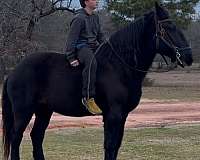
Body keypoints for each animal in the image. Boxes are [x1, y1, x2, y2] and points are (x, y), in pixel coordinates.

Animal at [1, 2, 192, 160]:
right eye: (168, 27)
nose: (188, 56)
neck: (119, 66)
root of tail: (14, 72)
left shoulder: (123, 116)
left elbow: (115, 146)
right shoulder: (113, 115)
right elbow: (110, 146)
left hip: (44, 110)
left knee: (36, 136)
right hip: (23, 111)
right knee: (16, 137)